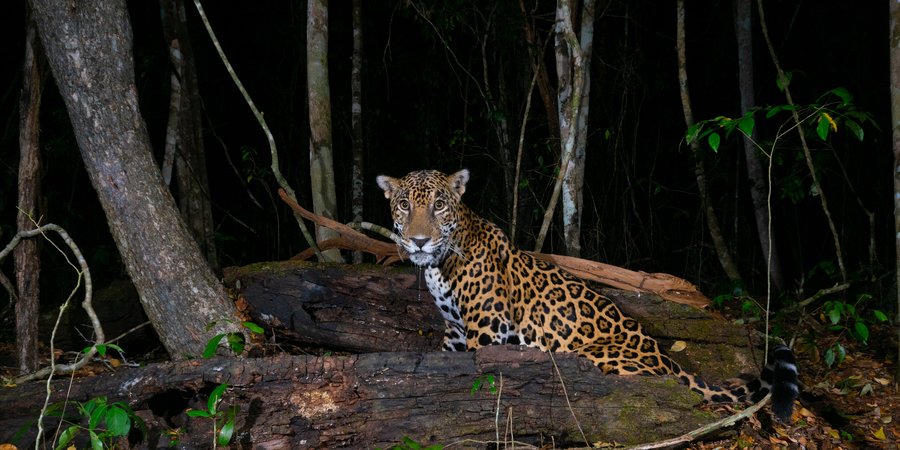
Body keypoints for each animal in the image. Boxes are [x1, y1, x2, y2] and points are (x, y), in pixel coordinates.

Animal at [377, 169, 800, 422]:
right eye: (404, 205)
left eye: (439, 205)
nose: (418, 241)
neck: (440, 263)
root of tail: (665, 356)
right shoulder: (455, 330)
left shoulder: (488, 328)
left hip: (600, 357)